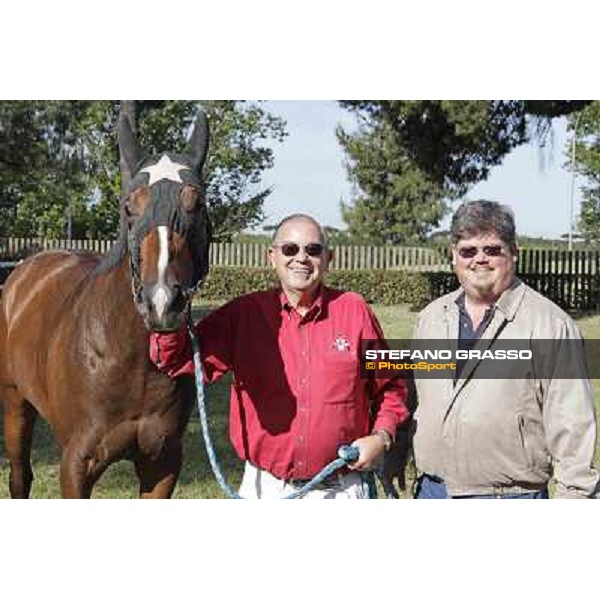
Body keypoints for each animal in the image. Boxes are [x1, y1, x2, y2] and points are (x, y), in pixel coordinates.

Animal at [0, 112, 212, 496]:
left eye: (198, 204)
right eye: (129, 206)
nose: (162, 302)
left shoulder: (162, 464)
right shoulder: (76, 465)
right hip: (14, 405)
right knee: (20, 476)